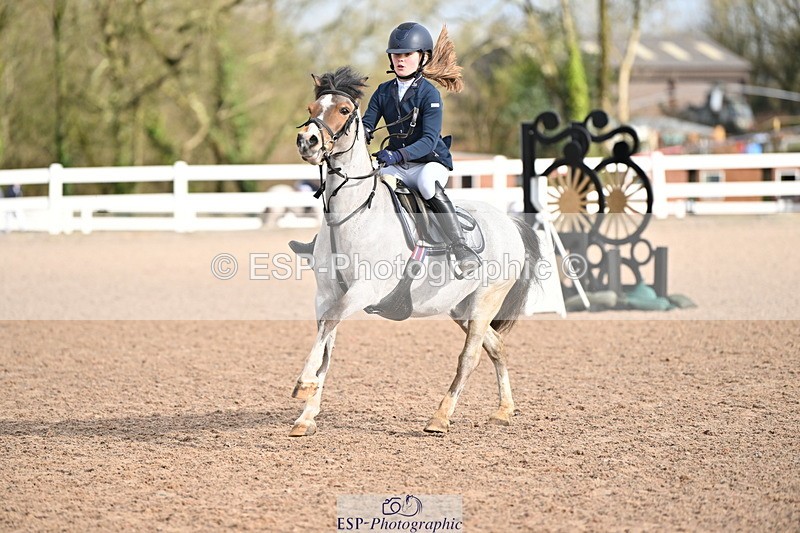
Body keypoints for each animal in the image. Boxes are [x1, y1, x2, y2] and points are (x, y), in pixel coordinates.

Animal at [291, 66, 541, 436]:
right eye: (311, 109)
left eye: (344, 110)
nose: (307, 142)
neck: (351, 215)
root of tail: (508, 221)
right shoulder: (326, 293)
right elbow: (326, 343)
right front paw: (307, 415)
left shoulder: (363, 290)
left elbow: (330, 324)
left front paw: (303, 385)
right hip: (460, 306)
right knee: (496, 346)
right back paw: (503, 410)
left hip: (486, 299)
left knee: (470, 357)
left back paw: (440, 417)